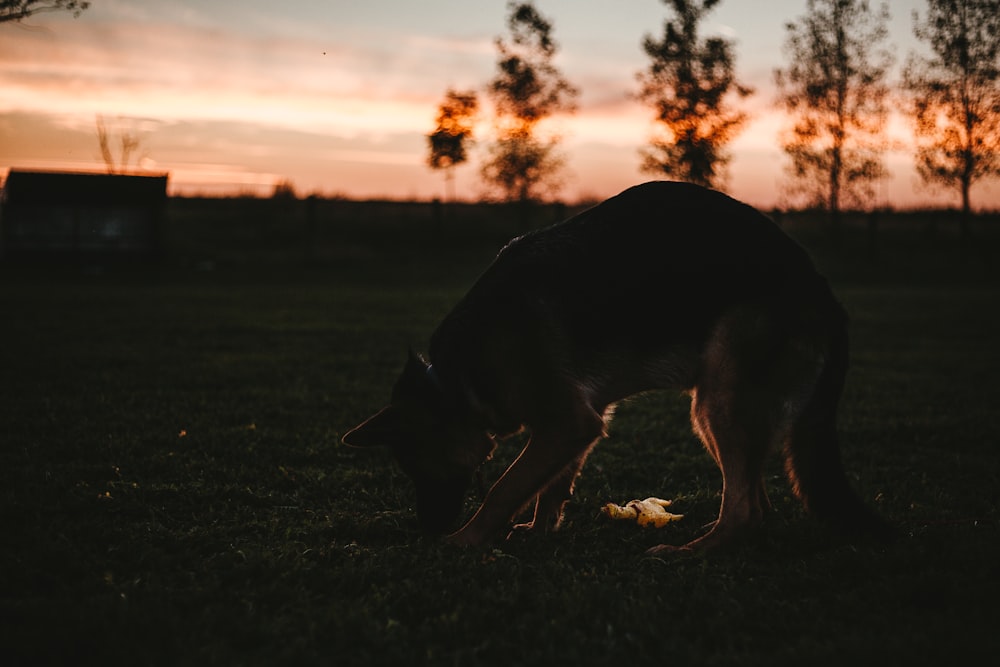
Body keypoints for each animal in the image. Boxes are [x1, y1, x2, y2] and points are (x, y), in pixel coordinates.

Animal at [340, 183, 888, 552]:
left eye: (416, 465)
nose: (427, 528)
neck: (455, 380)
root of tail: (822, 291)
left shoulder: (567, 420)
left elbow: (505, 487)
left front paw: (467, 539)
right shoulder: (582, 421)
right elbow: (551, 485)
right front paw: (539, 530)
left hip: (719, 400)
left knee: (747, 510)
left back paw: (690, 553)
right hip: (717, 409)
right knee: (759, 503)